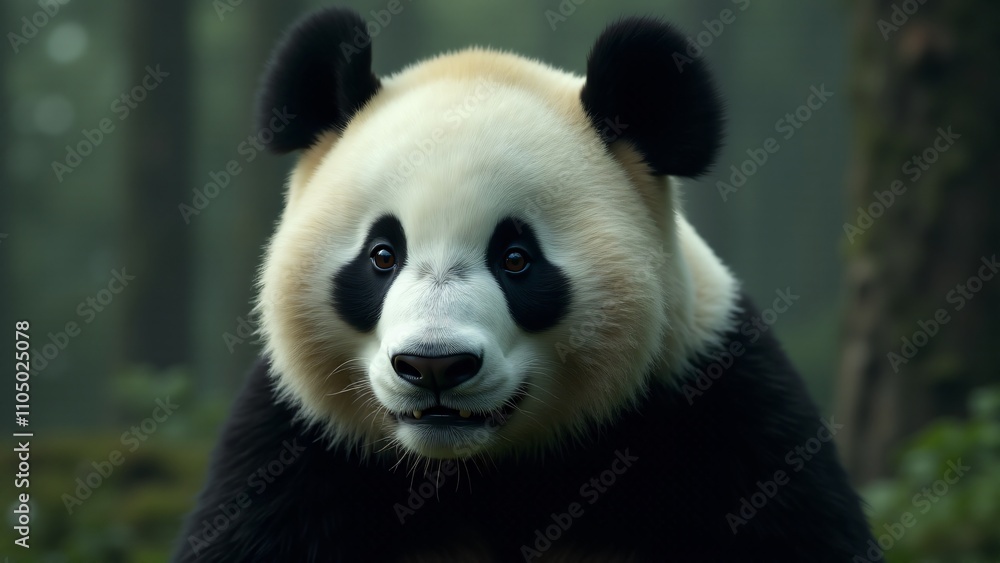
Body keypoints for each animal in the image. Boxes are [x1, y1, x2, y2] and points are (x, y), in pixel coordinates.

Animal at [175, 7, 872, 562]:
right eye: (382, 255)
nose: (433, 365)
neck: (483, 472)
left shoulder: (718, 412)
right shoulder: (298, 453)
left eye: (515, 259)